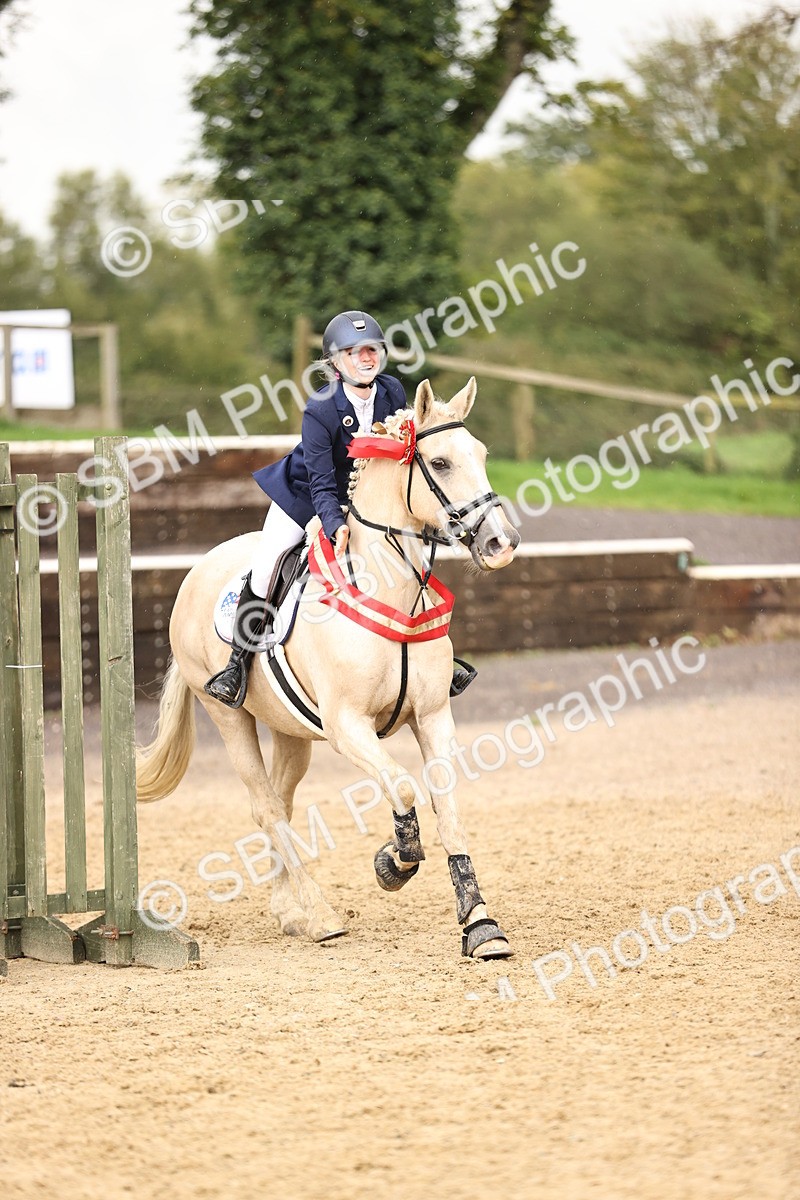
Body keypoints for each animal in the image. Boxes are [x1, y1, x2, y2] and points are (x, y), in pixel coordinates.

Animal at [136, 377, 521, 959]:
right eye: (440, 462)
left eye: (480, 455)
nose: (501, 544)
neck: (392, 587)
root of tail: (194, 573)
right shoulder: (348, 726)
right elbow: (402, 788)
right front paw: (395, 862)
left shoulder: (433, 716)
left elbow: (447, 806)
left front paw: (480, 925)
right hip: (227, 715)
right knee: (266, 807)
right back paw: (319, 915)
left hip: (290, 730)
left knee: (280, 802)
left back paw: (290, 910)